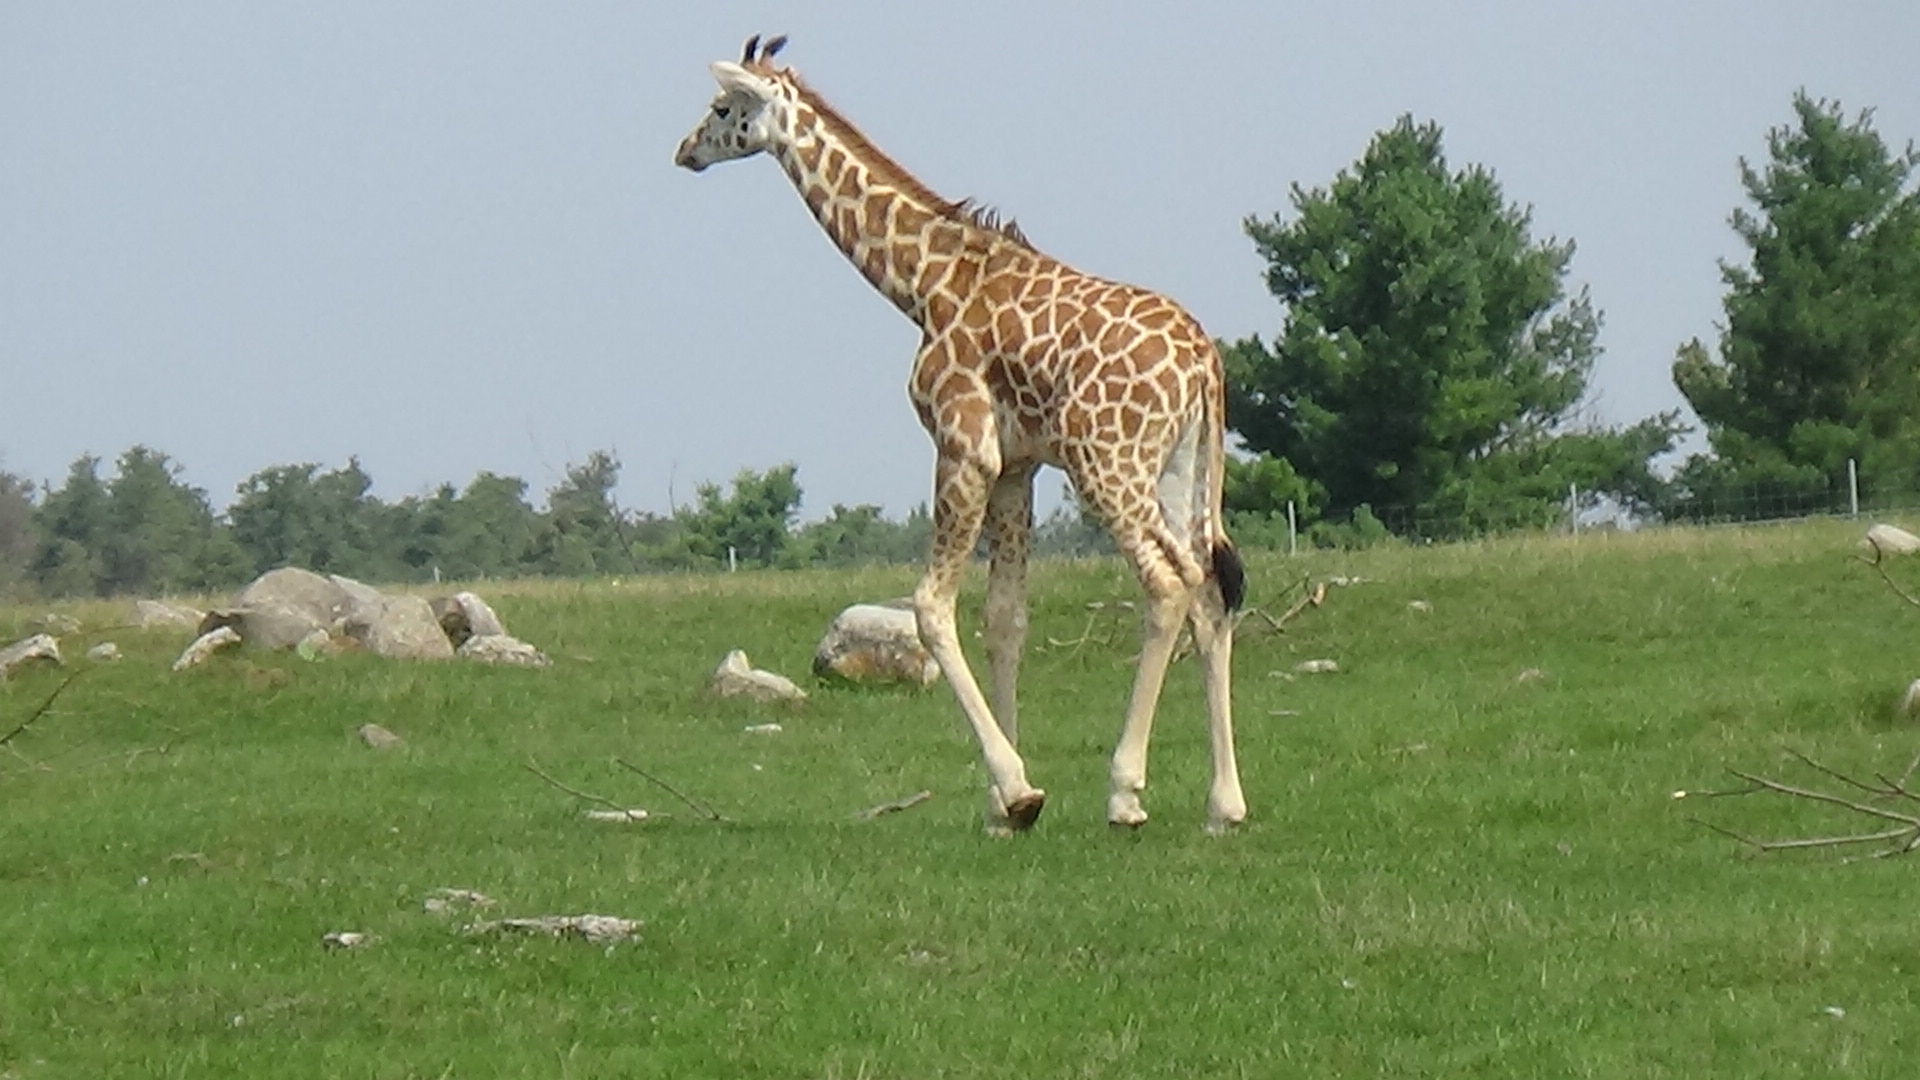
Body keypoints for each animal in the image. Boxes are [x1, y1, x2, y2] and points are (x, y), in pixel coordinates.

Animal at [675, 36, 1247, 833]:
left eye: (724, 108)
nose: (684, 151)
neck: (922, 285)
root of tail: (1204, 364)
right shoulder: (1016, 466)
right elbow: (1004, 618)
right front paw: (1002, 807)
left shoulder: (962, 446)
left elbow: (929, 607)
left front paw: (1017, 789)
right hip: (1181, 469)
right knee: (1209, 587)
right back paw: (1224, 804)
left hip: (1108, 463)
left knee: (1167, 584)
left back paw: (1125, 793)